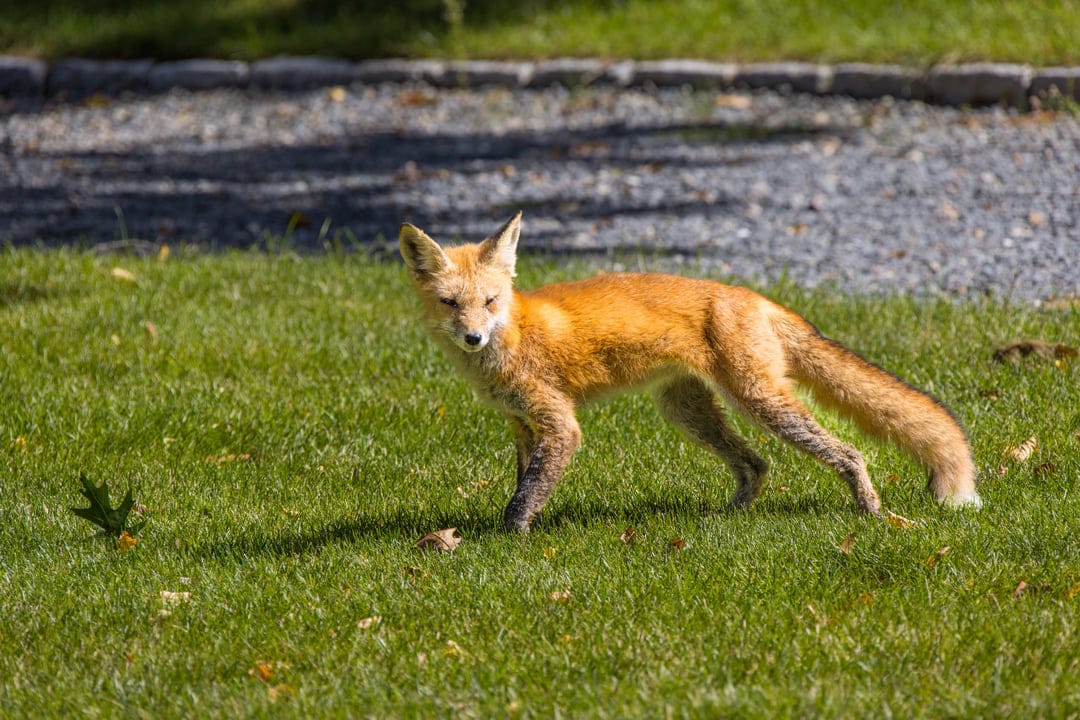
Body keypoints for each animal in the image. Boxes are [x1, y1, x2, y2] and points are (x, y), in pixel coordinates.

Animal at [399, 211, 980, 532]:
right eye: (451, 304)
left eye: (490, 301)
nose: (474, 337)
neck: (513, 335)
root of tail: (756, 296)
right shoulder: (522, 424)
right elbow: (527, 481)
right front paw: (522, 528)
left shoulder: (559, 423)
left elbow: (526, 494)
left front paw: (510, 539)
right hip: (687, 410)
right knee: (757, 464)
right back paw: (728, 518)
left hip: (758, 401)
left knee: (848, 452)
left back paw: (871, 511)